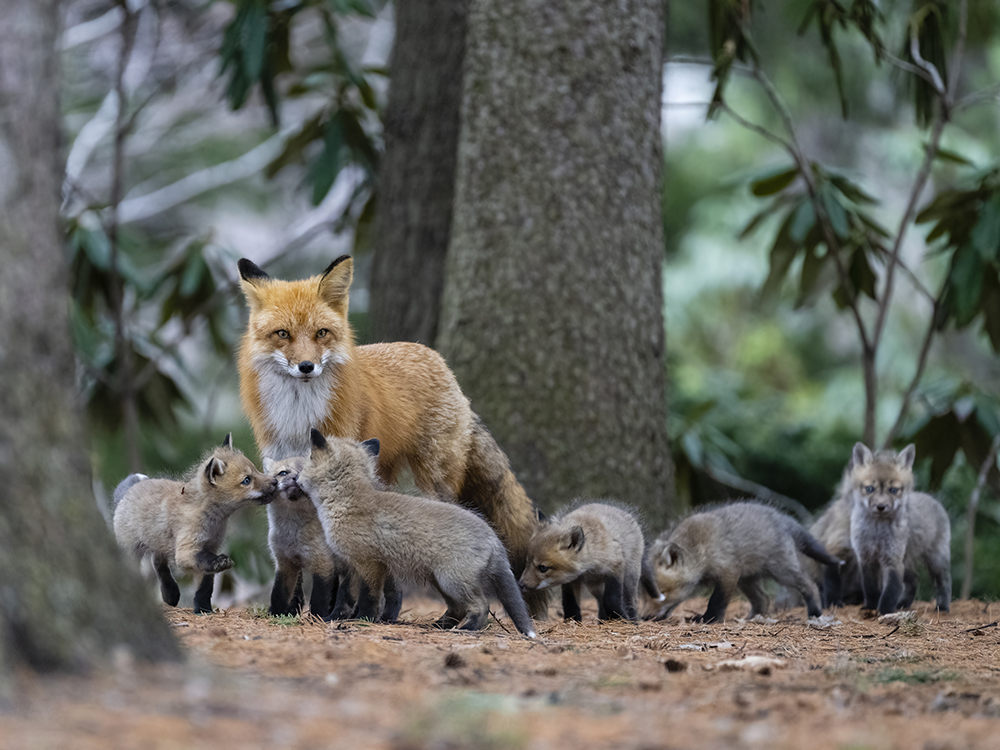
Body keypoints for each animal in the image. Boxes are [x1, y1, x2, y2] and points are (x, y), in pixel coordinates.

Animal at [236, 256, 548, 620]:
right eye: (282, 334)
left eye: (321, 333)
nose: (306, 366)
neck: (300, 413)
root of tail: (436, 358)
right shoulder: (279, 453)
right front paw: (292, 607)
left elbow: (341, 561)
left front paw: (337, 609)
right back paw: (390, 612)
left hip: (433, 480)